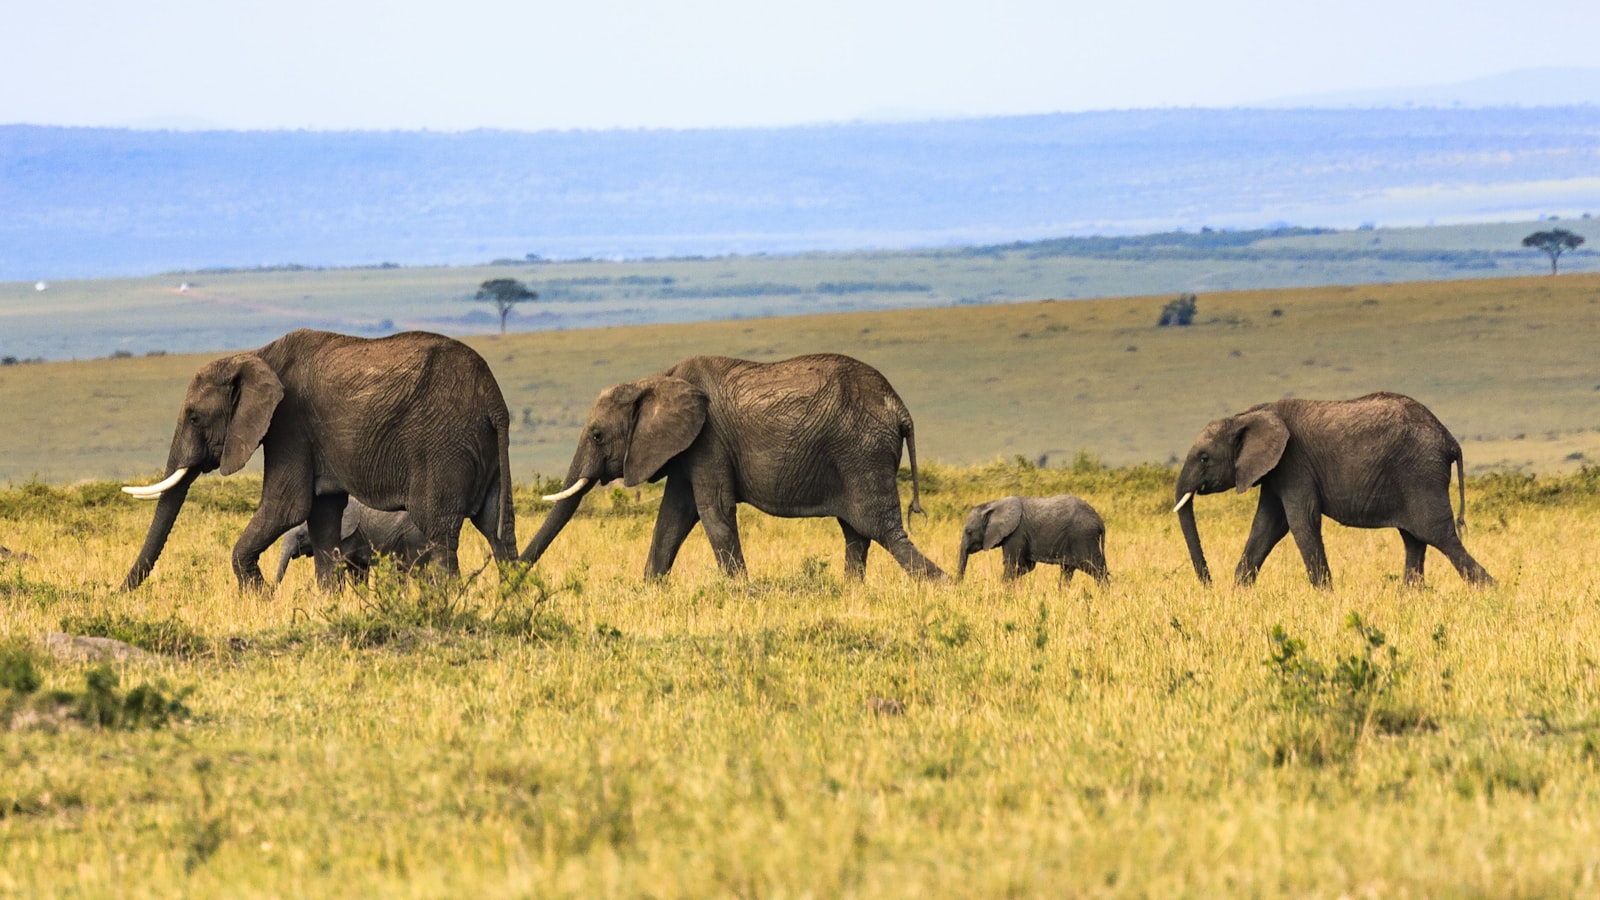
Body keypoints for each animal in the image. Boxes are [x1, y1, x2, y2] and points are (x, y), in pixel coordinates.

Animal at [520, 353, 947, 581]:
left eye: (596, 435)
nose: (512, 574)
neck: (655, 379)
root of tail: (901, 409)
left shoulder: (708, 440)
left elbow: (714, 511)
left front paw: (742, 591)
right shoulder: (687, 448)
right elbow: (673, 517)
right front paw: (648, 589)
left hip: (862, 452)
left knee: (881, 528)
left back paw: (944, 586)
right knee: (857, 533)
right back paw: (850, 592)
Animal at [957, 495, 1109, 585]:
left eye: (969, 532)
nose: (960, 585)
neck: (994, 504)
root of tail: (1099, 521)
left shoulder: (1016, 534)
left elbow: (1011, 564)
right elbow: (1027, 565)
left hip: (1083, 538)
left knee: (1095, 568)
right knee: (1067, 570)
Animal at [1173, 391, 1492, 588]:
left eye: (1204, 458)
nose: (1208, 584)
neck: (1248, 415)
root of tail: (1450, 440)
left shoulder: (1294, 462)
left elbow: (1300, 521)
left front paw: (1325, 595)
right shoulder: (1276, 471)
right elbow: (1267, 525)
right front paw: (1238, 592)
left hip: (1421, 474)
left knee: (1438, 535)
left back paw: (1489, 590)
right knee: (1414, 539)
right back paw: (1410, 597)